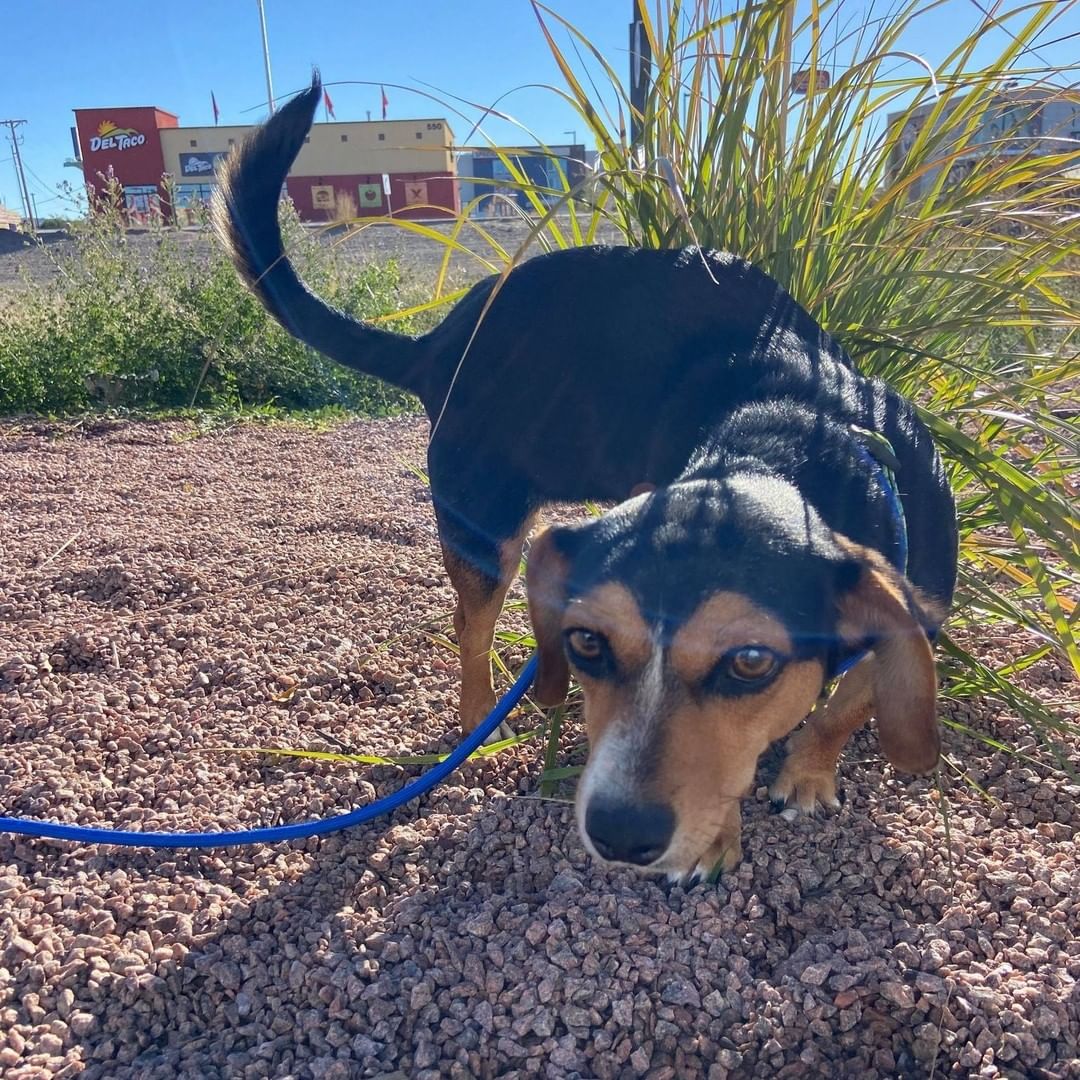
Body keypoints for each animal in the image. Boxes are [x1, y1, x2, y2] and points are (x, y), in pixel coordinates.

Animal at [214, 78, 959, 885]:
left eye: (751, 662)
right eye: (587, 643)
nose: (619, 833)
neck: (793, 438)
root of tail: (440, 342)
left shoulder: (918, 597)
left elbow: (849, 699)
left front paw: (809, 770)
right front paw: (721, 835)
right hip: (486, 527)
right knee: (470, 626)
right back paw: (479, 719)